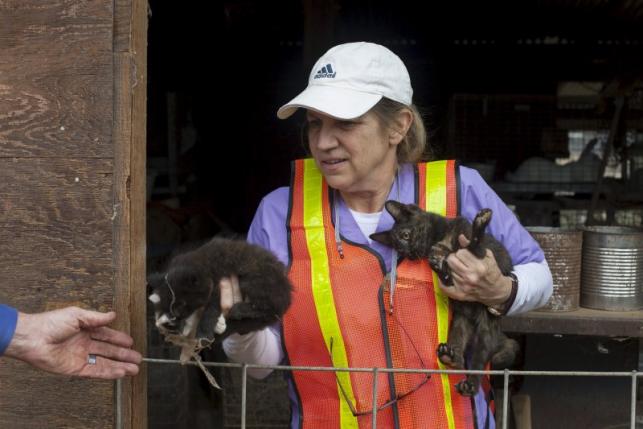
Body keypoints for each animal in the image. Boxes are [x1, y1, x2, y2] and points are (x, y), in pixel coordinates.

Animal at [148, 236, 292, 346]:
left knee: (269, 310)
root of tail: (286, 295)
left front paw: (203, 334)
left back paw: (240, 309)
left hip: (254, 282)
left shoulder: (217, 286)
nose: (176, 316)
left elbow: (210, 311)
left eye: (182, 304)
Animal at [372, 200, 520, 394]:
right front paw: (440, 266)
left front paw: (480, 224)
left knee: (479, 361)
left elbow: (474, 247)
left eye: (406, 235)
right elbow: (445, 272)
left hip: (486, 329)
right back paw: (450, 357)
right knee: (460, 356)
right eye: (399, 250)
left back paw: (470, 384)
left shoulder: (480, 255)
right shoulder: (449, 279)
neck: (439, 240)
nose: (410, 253)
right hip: (460, 322)